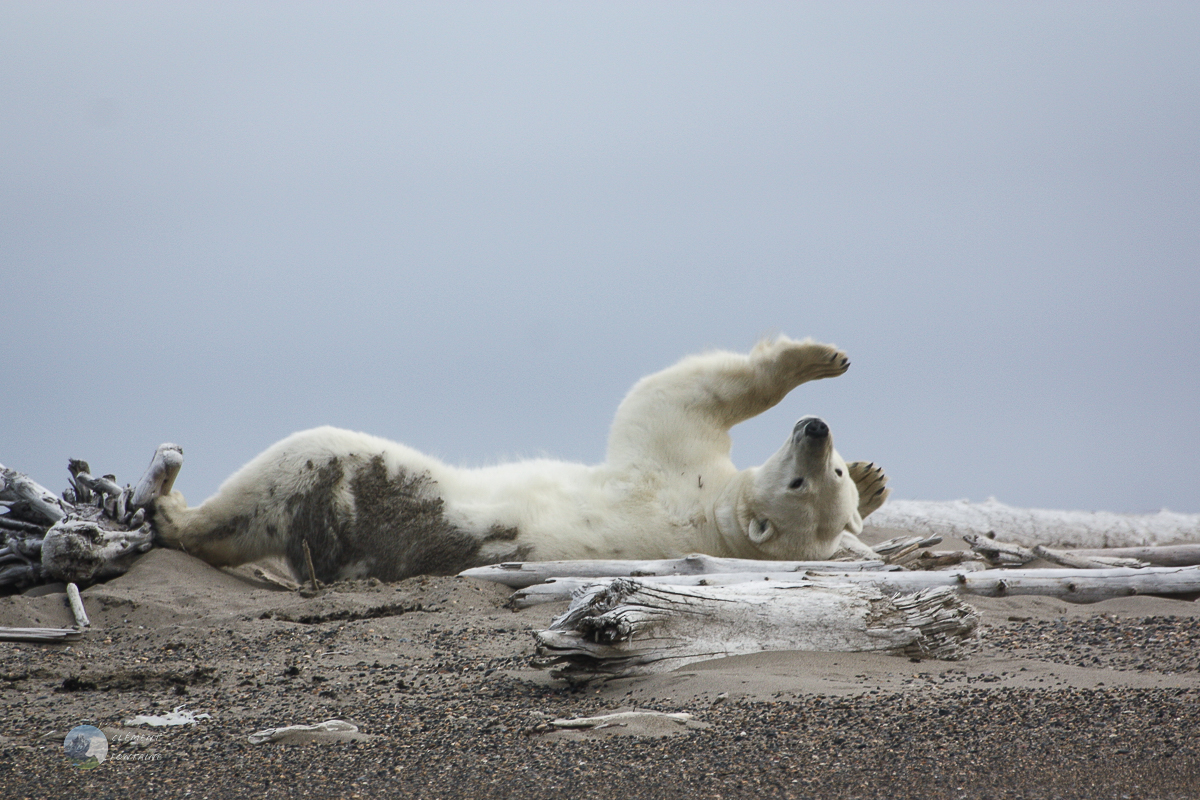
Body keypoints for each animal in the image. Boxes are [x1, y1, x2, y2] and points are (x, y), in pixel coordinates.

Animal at [145, 338, 888, 582]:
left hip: (353, 478)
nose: (817, 429)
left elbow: (671, 392)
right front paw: (876, 478)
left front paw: (815, 358)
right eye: (823, 475)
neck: (719, 524)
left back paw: (170, 499)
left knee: (284, 468)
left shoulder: (676, 467)